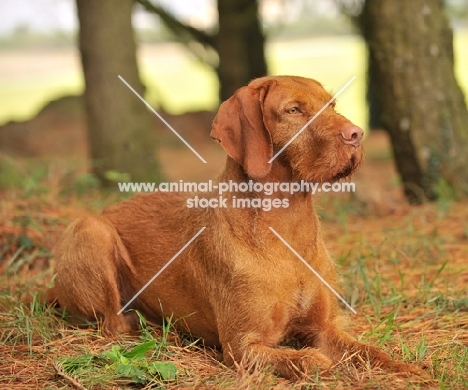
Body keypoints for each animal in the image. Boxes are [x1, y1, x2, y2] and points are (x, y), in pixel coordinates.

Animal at [49, 76, 426, 378]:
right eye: (294, 110)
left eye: (331, 104)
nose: (356, 134)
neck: (287, 227)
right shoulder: (242, 346)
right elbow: (306, 359)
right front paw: (317, 363)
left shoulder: (322, 327)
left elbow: (368, 350)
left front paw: (407, 367)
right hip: (91, 231)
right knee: (113, 325)